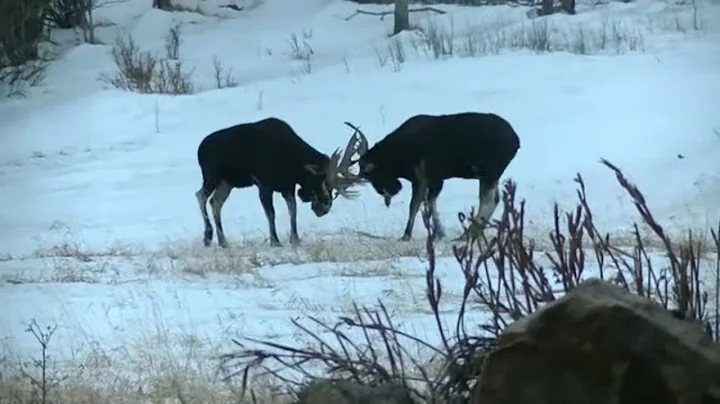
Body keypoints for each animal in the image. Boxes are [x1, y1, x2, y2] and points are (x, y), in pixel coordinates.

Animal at [195, 117, 362, 248]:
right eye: (320, 181)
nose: (324, 208)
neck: (293, 165)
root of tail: (199, 149)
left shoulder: (288, 187)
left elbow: (293, 210)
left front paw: (295, 239)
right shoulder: (264, 185)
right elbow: (271, 213)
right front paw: (275, 241)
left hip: (227, 183)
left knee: (215, 202)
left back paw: (223, 241)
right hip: (212, 176)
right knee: (201, 195)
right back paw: (208, 236)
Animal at [341, 112, 521, 241]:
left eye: (371, 174)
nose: (389, 192)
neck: (400, 157)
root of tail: (516, 141)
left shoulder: (432, 177)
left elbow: (420, 204)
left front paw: (412, 234)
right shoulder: (421, 180)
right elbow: (422, 204)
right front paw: (435, 233)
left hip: (489, 172)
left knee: (488, 200)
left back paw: (466, 235)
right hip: (490, 174)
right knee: (495, 198)